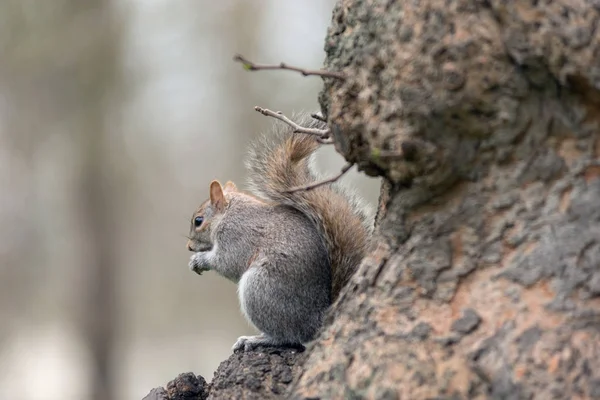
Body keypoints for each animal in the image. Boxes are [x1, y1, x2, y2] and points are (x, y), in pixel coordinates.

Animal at [188, 115, 372, 350]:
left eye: (198, 221)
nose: (189, 246)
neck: (228, 213)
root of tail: (318, 318)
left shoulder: (236, 235)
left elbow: (228, 262)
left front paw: (200, 260)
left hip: (261, 288)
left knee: (287, 336)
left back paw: (257, 339)